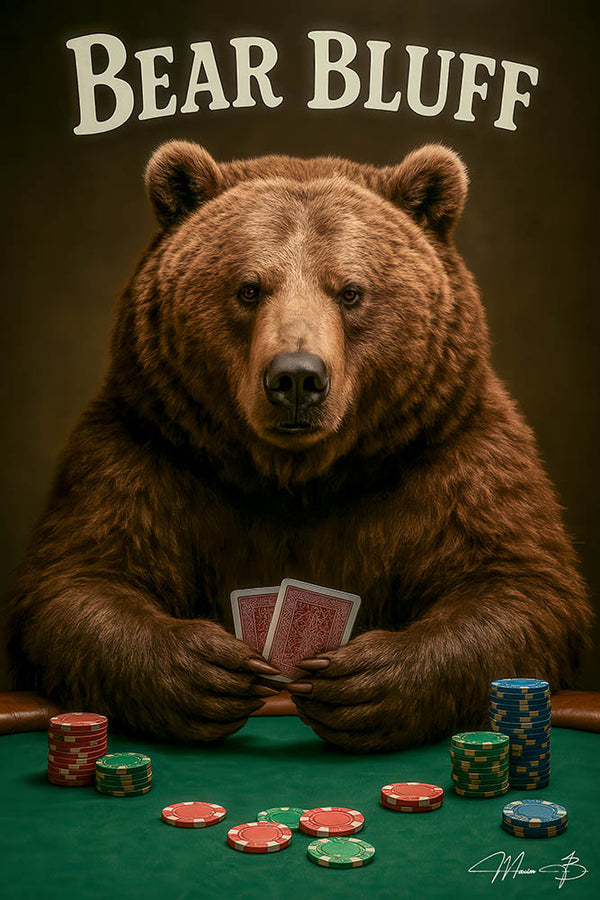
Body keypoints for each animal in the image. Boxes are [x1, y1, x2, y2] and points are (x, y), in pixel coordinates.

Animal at [8, 140, 592, 752]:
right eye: (248, 288)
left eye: (352, 291)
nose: (295, 377)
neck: (299, 476)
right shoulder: (150, 452)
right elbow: (79, 581)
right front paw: (206, 670)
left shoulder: (450, 458)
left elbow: (516, 584)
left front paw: (363, 680)